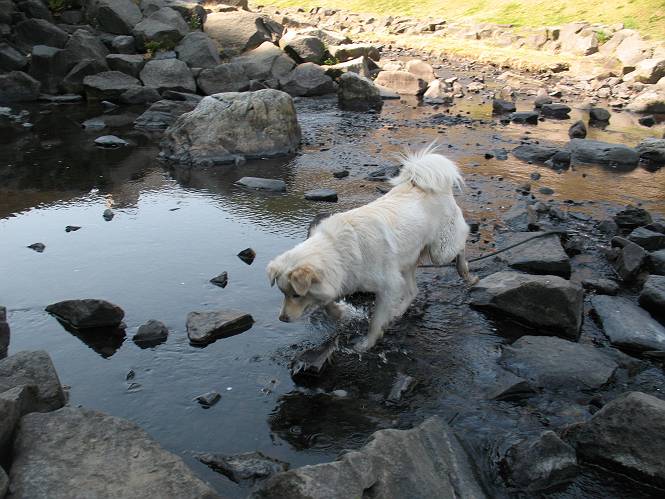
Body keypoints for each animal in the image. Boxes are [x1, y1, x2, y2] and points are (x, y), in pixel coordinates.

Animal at [266, 144, 476, 351]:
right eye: (283, 293)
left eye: (295, 294)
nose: (282, 319)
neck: (338, 250)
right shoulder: (344, 278)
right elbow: (327, 303)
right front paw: (341, 313)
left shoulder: (388, 286)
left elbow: (375, 321)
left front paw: (366, 344)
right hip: (407, 260)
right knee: (413, 291)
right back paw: (398, 311)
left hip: (440, 252)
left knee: (462, 240)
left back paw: (465, 272)